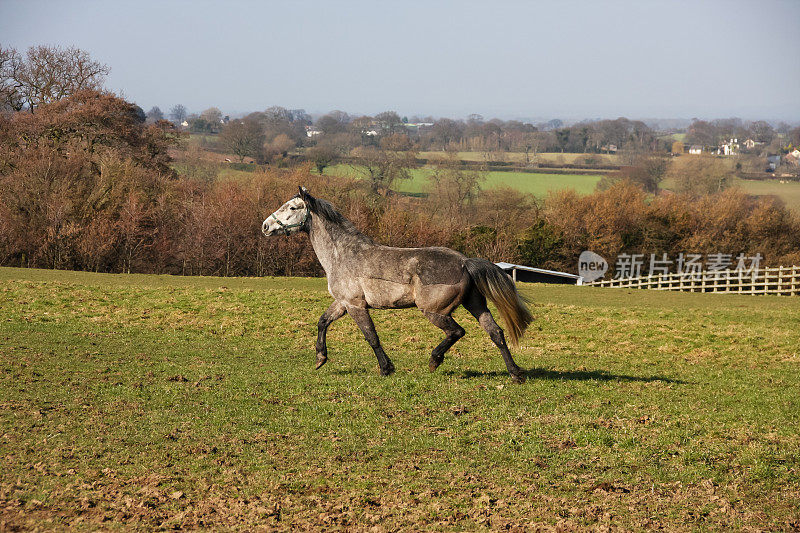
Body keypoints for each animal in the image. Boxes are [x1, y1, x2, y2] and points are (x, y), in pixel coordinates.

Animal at [262, 187, 536, 382]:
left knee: (457, 332)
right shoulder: (342, 303)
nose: (265, 226)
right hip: (476, 305)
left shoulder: (355, 305)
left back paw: (434, 360)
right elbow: (322, 321)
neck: (343, 254)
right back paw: (516, 374)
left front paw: (386, 369)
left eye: (292, 207)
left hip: (434, 311)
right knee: (496, 333)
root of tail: (464, 262)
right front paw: (320, 358)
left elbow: (371, 337)